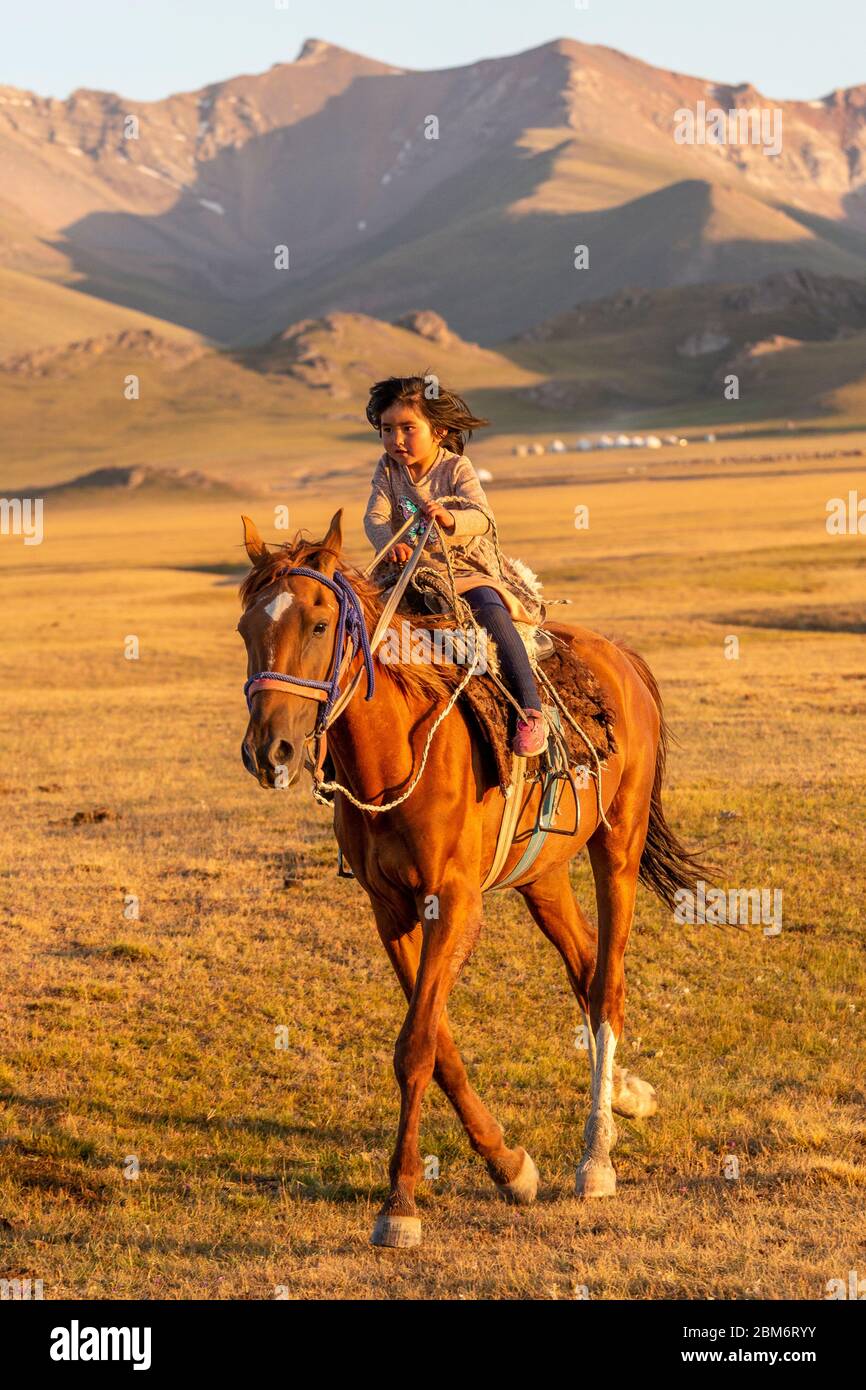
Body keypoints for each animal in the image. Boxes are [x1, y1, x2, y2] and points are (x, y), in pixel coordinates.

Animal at [239, 511, 711, 1251]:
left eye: (318, 623)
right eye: (244, 628)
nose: (270, 751)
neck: (397, 747)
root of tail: (623, 658)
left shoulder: (455, 904)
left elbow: (415, 1047)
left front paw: (399, 1206)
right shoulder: (391, 911)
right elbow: (438, 1045)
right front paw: (510, 1167)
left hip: (618, 846)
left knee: (607, 981)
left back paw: (596, 1159)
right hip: (542, 873)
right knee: (584, 967)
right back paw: (626, 1095)